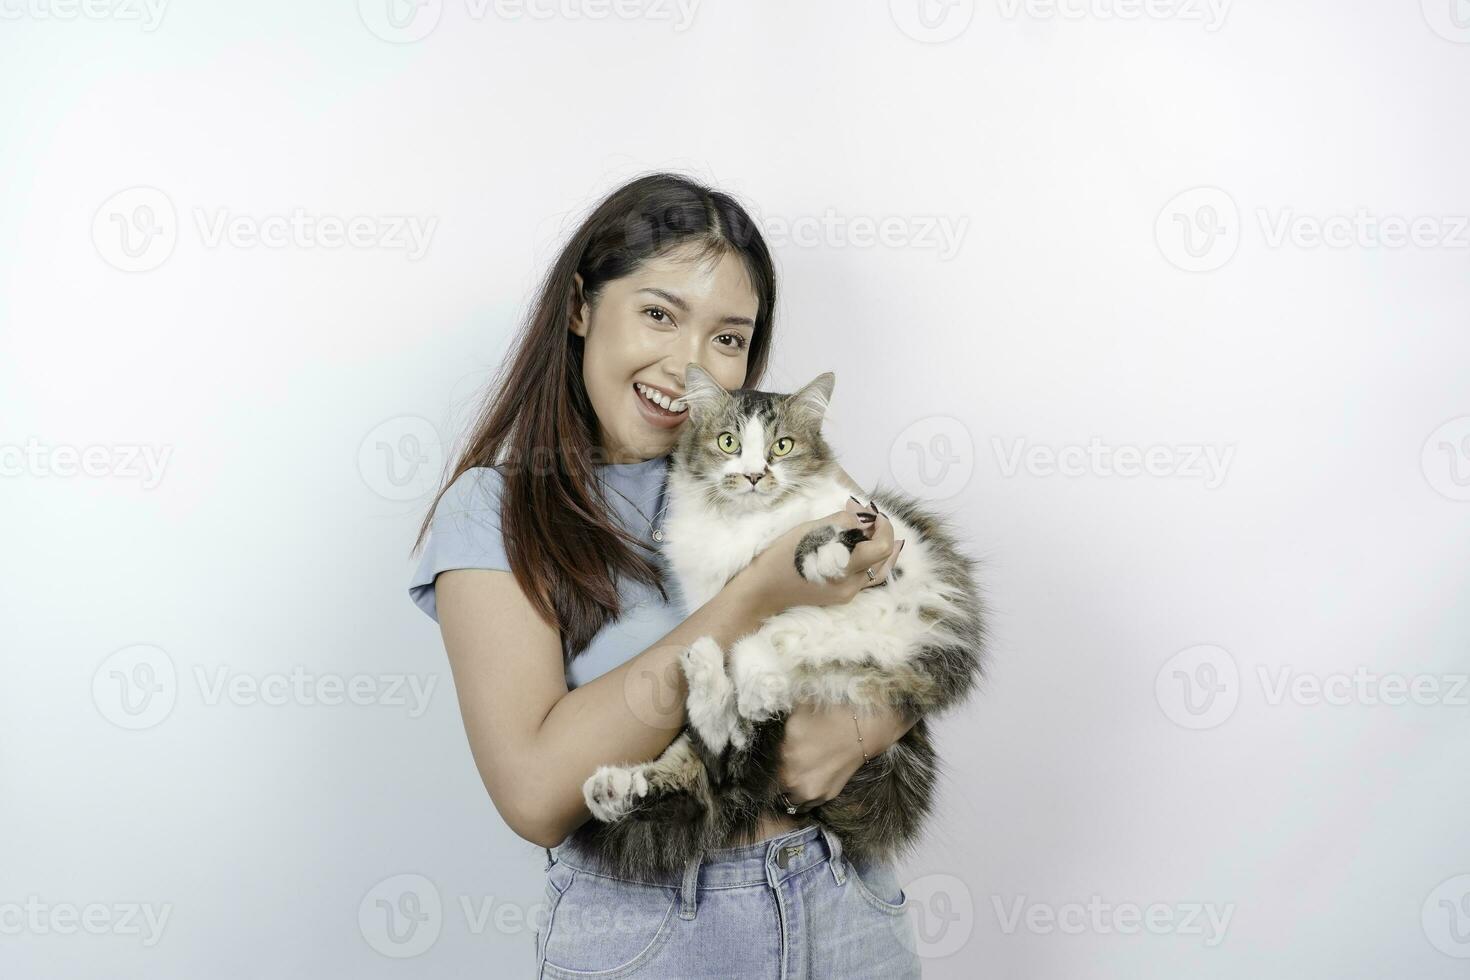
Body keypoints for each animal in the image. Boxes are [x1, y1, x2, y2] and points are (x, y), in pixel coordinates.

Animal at [573, 365, 987, 881]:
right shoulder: (713, 598)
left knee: (736, 738)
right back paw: (615, 786)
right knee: (719, 760)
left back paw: (724, 682)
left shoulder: (882, 531)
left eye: (782, 446)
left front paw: (825, 558)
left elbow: (829, 534)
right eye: (728, 442)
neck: (744, 528)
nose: (755, 475)